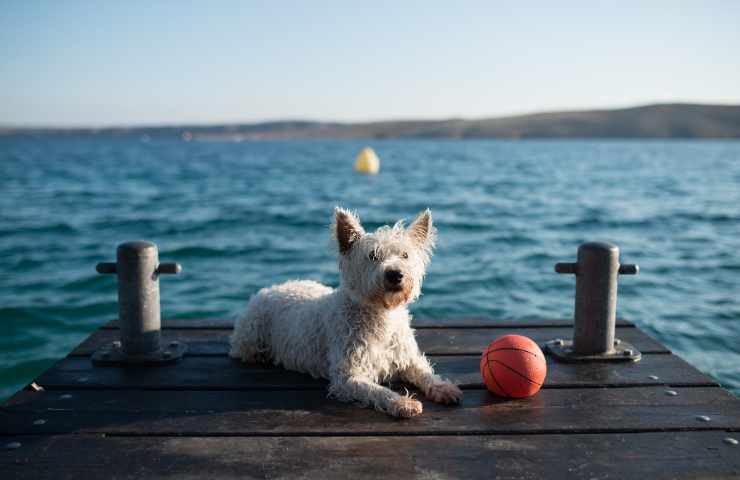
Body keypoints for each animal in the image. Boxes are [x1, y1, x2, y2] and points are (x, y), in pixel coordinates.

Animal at [231, 208, 462, 418]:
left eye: (405, 255)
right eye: (373, 256)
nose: (395, 274)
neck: (381, 314)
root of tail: (268, 290)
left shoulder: (407, 357)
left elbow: (424, 372)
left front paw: (443, 387)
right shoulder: (347, 376)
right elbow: (377, 391)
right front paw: (402, 402)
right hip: (252, 335)